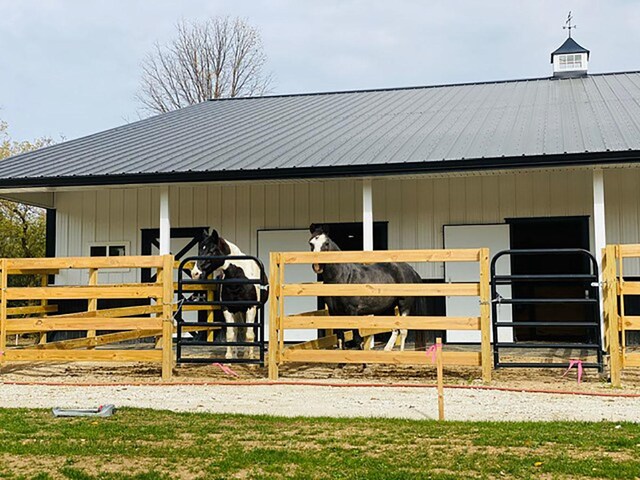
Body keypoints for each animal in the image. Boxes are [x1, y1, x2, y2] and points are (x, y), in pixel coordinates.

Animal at [190, 230, 264, 360]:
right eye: (200, 250)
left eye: (211, 251)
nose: (195, 273)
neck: (238, 276)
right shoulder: (227, 308)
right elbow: (230, 334)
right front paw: (229, 357)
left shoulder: (251, 308)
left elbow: (250, 334)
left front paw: (250, 359)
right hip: (238, 311)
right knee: (237, 330)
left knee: (247, 331)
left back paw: (246, 354)